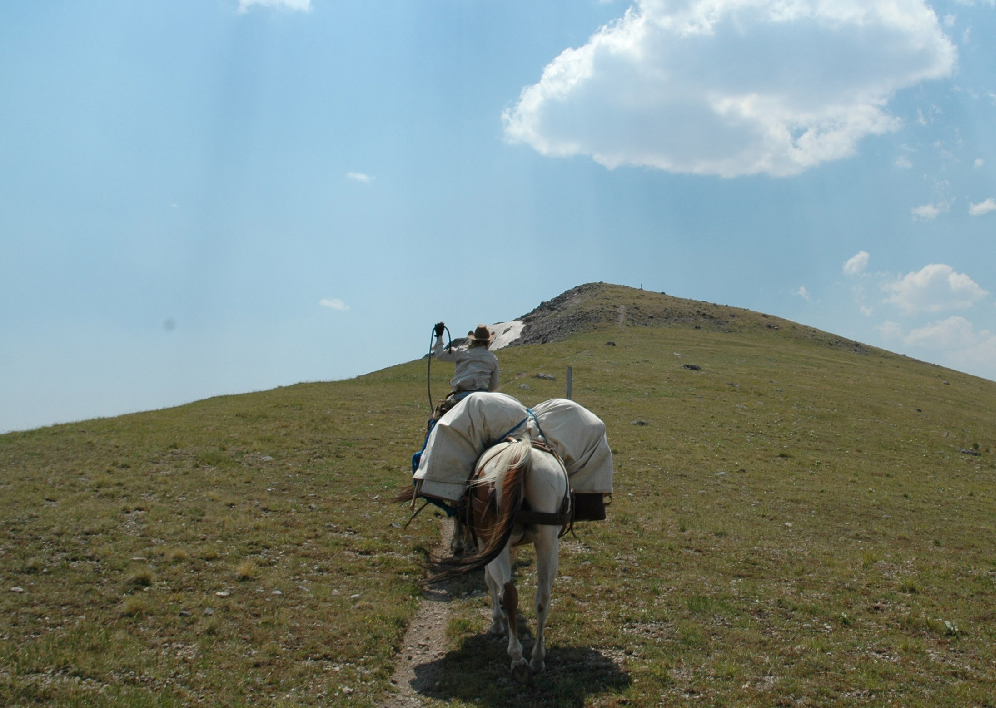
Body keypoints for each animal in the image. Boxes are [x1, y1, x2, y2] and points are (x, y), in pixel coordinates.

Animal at [444, 428, 568, 684]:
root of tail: (524, 454)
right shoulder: (512, 544)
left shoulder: (487, 541)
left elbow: (490, 580)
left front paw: (496, 622)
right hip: (548, 541)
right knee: (543, 595)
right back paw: (537, 658)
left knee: (509, 592)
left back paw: (517, 658)